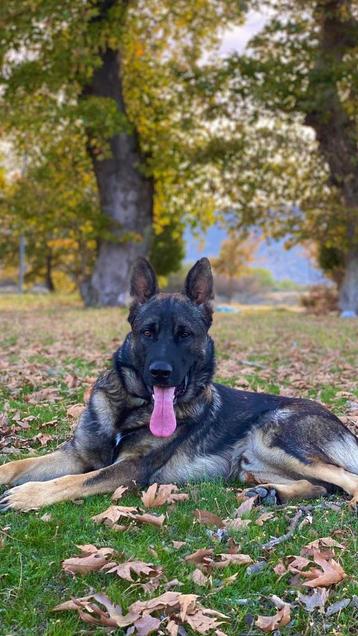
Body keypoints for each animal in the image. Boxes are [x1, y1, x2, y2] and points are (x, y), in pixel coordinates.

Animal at [0, 256, 358, 510]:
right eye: (148, 332)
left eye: (185, 334)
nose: (161, 372)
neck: (131, 408)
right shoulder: (76, 456)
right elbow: (19, 464)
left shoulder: (130, 470)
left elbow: (77, 481)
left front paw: (27, 495)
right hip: (252, 464)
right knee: (323, 486)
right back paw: (272, 493)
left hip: (274, 440)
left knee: (346, 479)